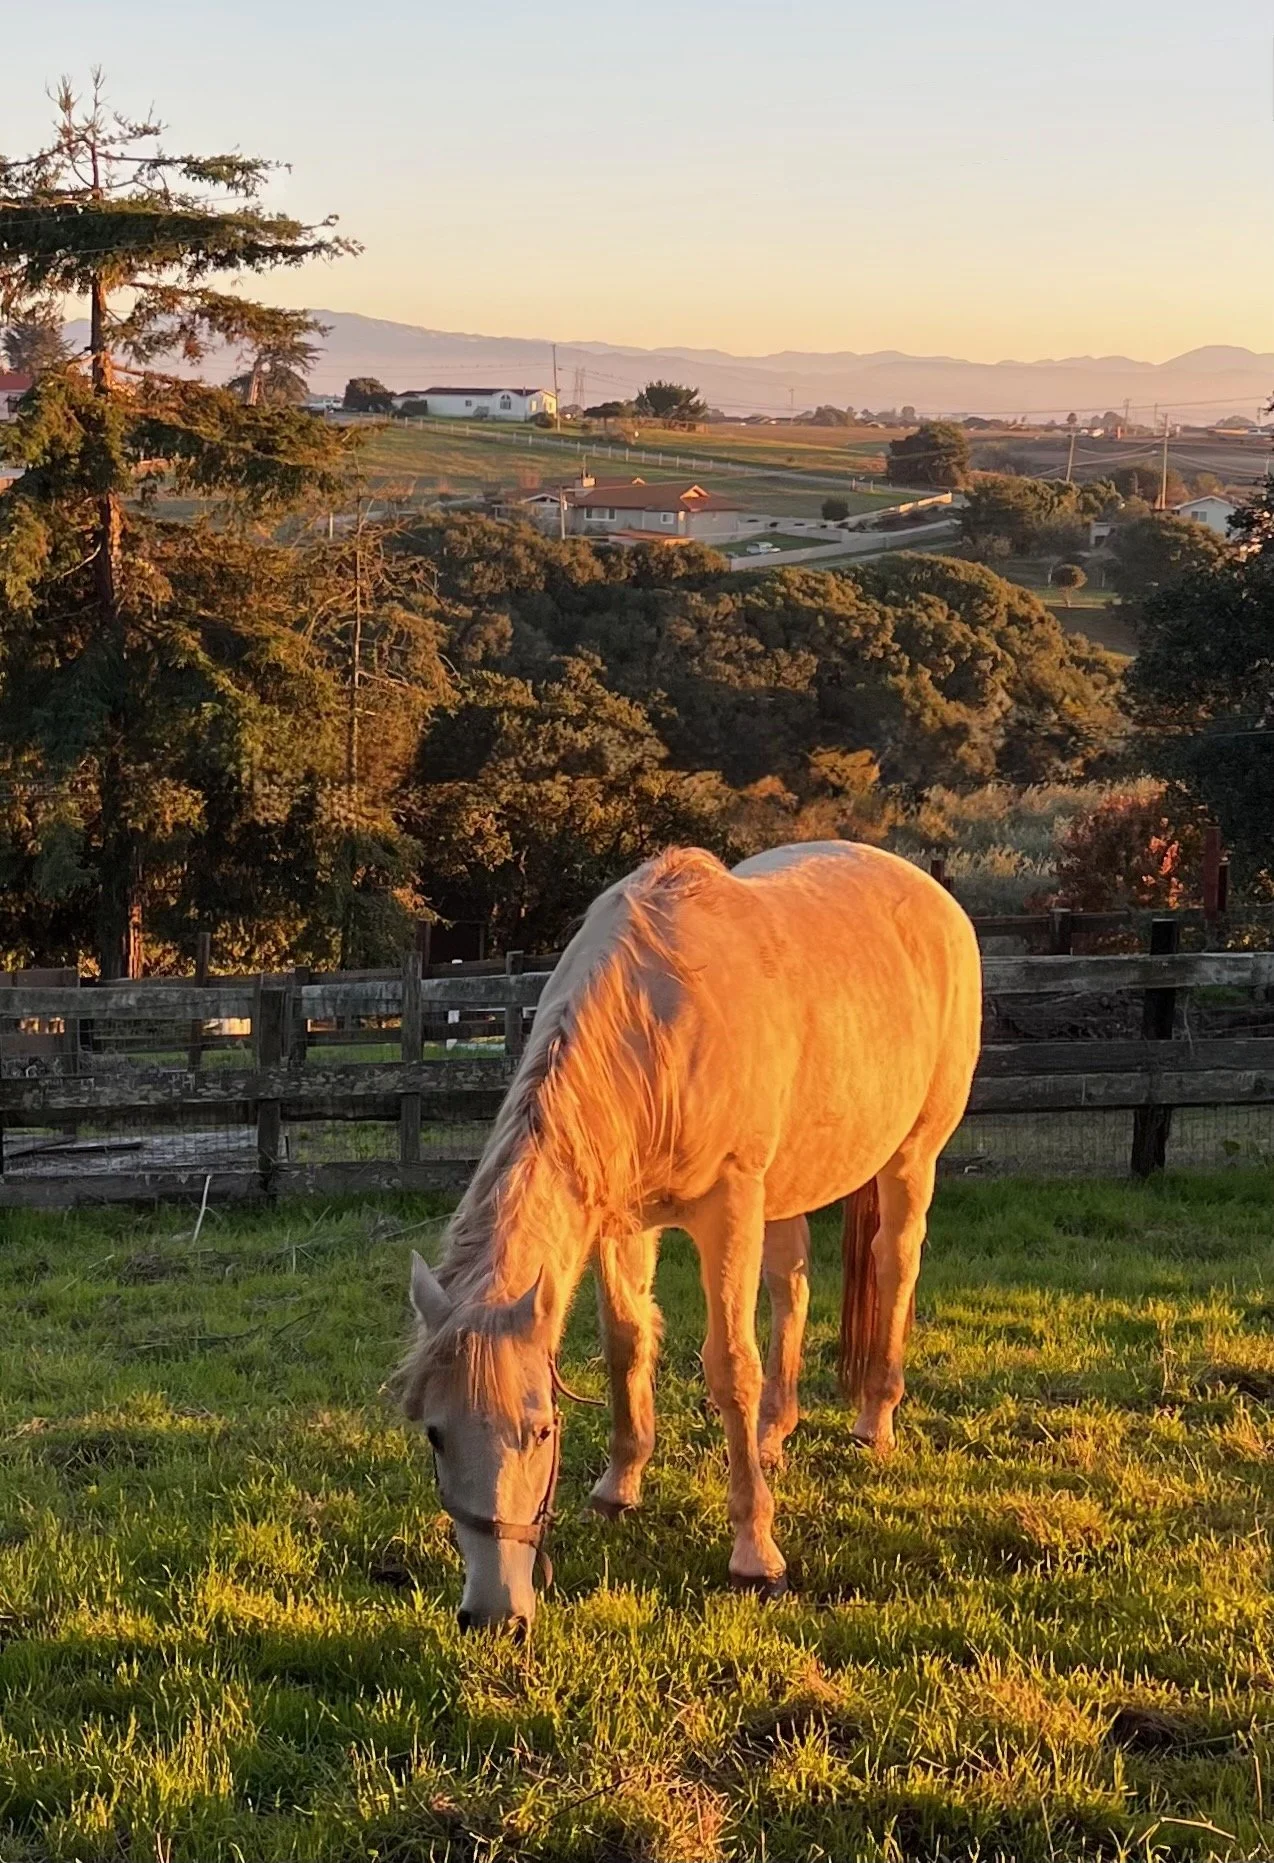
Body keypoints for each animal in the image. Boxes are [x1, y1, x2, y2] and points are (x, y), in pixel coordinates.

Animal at [397, 840, 981, 1630]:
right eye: (436, 1431)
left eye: (542, 1429)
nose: (495, 1615)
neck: (655, 1020)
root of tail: (931, 894)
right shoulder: (623, 1220)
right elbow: (625, 1344)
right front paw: (619, 1486)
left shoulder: (728, 1208)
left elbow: (730, 1367)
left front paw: (757, 1555)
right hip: (784, 1187)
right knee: (791, 1285)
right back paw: (774, 1433)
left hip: (910, 1157)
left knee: (894, 1267)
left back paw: (875, 1419)